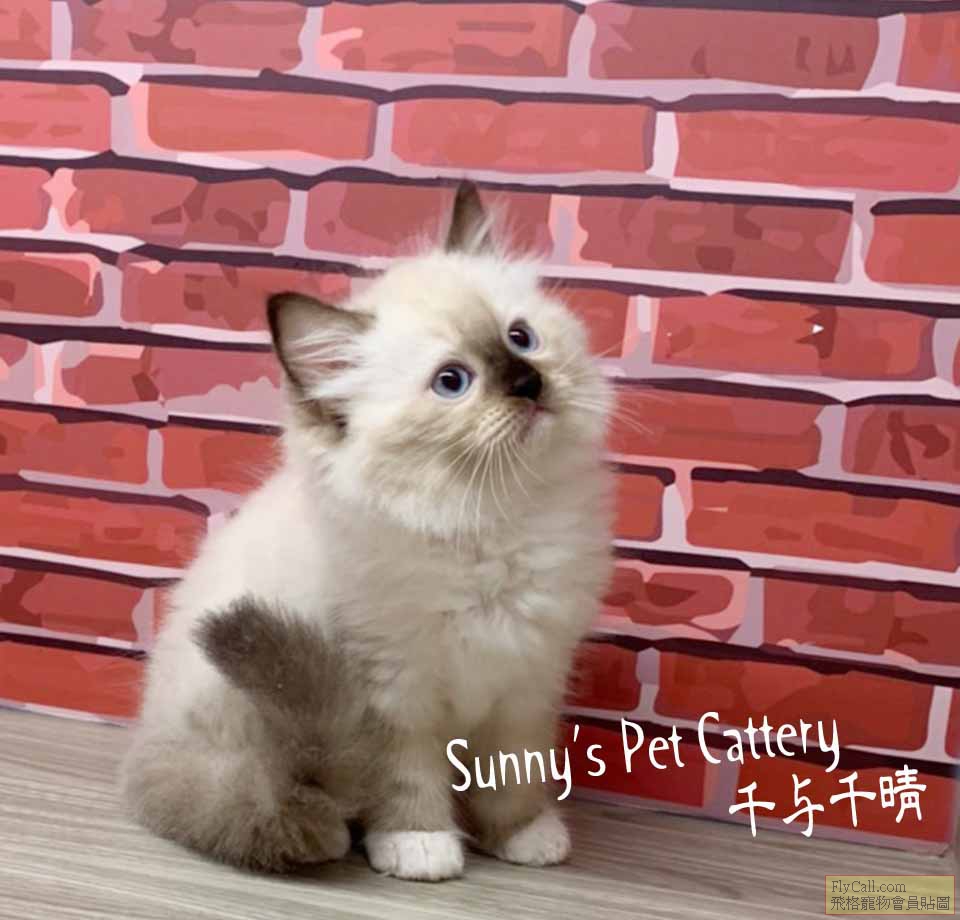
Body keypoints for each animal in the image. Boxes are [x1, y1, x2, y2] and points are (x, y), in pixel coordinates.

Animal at [121, 183, 615, 881]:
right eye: (452, 382)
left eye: (520, 338)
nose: (528, 383)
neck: (485, 520)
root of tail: (149, 746)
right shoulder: (391, 692)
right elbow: (407, 781)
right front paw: (421, 848)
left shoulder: (527, 681)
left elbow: (513, 778)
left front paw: (525, 838)